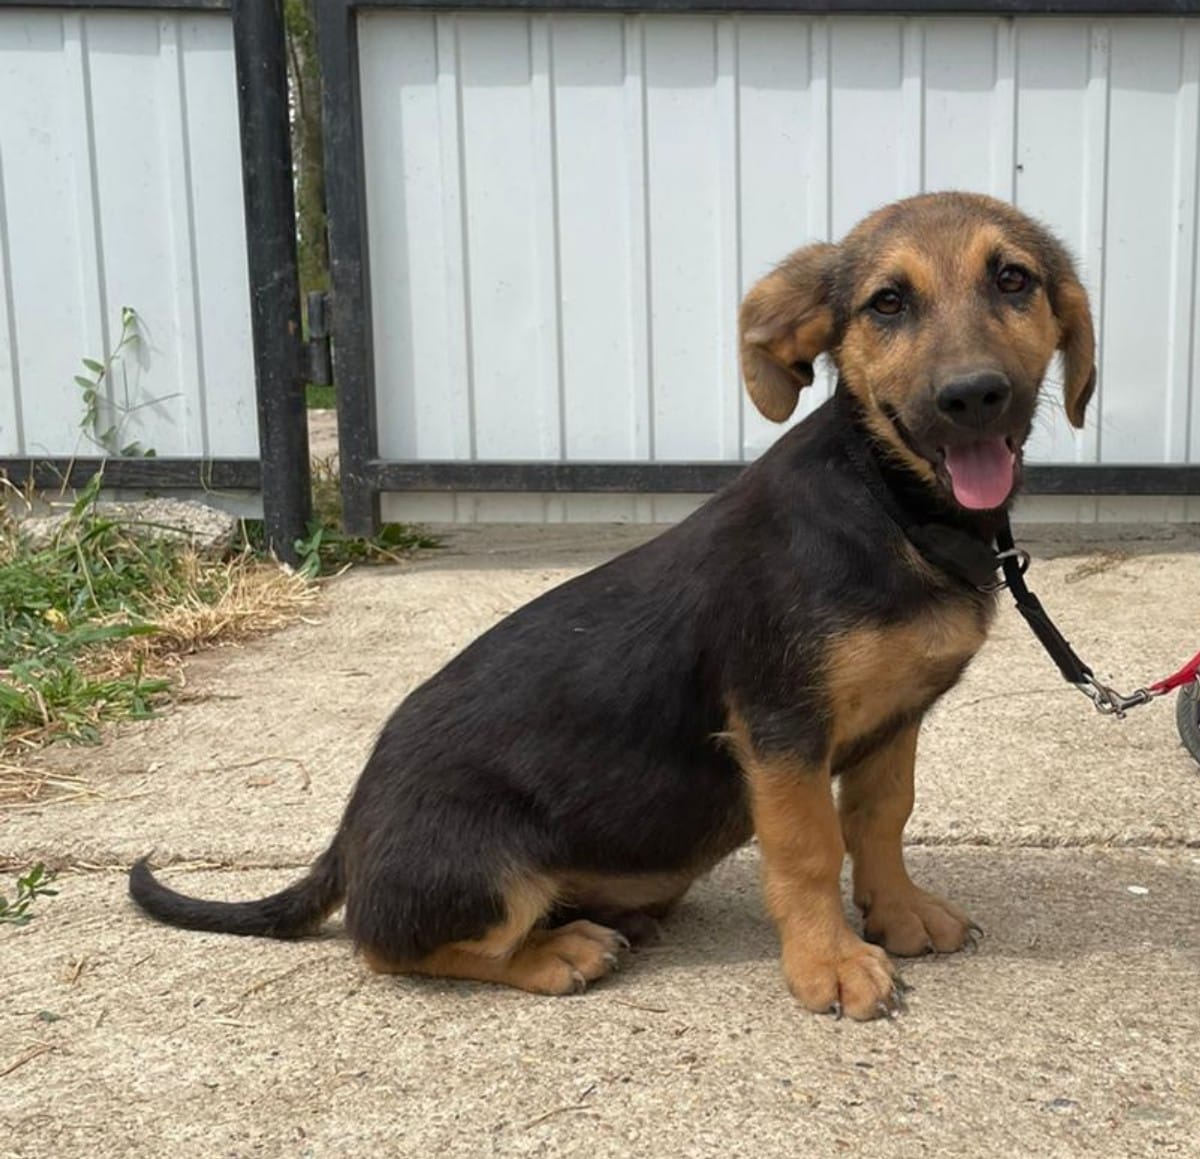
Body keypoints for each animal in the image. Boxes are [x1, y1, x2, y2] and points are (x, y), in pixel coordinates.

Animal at [130, 192, 1095, 1021]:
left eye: (1014, 279)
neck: (892, 505)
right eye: (887, 303)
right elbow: (811, 847)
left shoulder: (895, 718)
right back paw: (558, 950)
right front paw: (828, 962)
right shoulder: (780, 726)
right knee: (389, 945)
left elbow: (880, 820)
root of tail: (346, 832)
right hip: (482, 871)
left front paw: (897, 914)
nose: (972, 396)